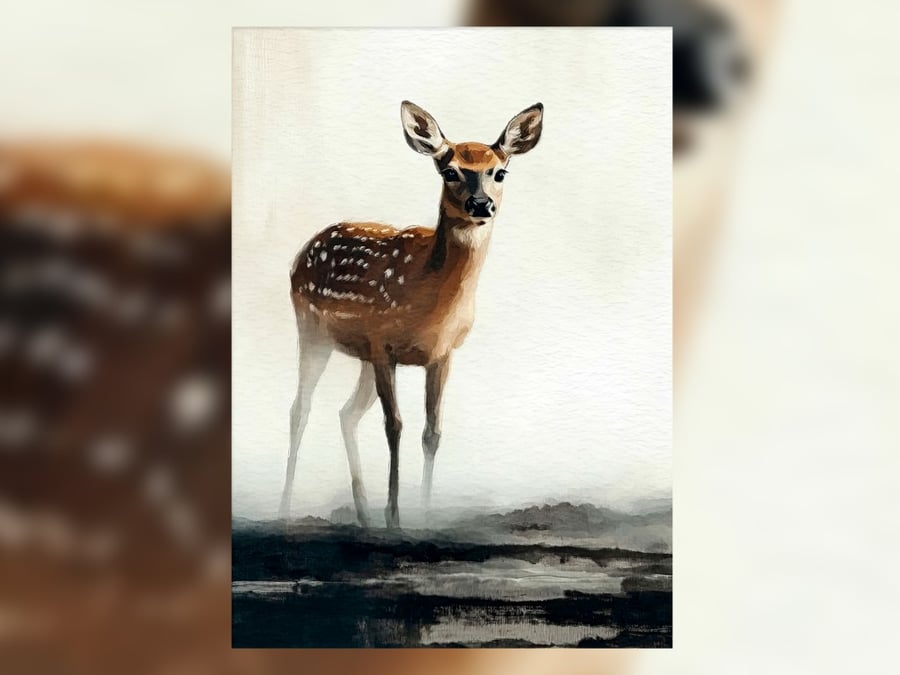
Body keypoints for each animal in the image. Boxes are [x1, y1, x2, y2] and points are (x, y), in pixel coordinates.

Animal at [279, 100, 543, 529]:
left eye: (499, 172)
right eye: (450, 171)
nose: (481, 205)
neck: (431, 296)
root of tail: (303, 251)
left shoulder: (442, 354)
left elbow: (432, 432)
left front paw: (423, 514)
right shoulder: (383, 345)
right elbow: (395, 426)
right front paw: (395, 519)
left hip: (360, 355)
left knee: (346, 414)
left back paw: (364, 516)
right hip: (312, 328)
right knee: (300, 410)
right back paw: (285, 509)